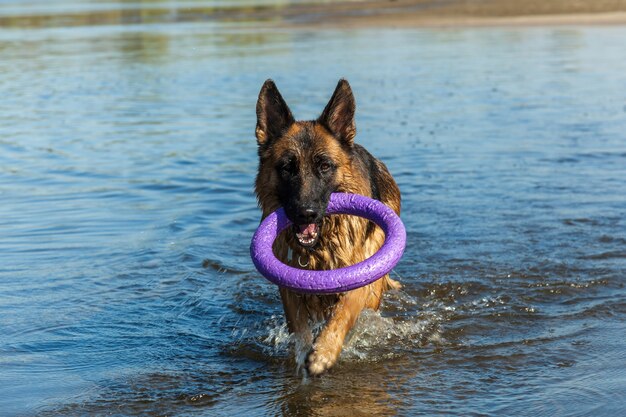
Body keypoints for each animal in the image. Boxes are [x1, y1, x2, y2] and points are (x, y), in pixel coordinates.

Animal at [254, 78, 400, 374]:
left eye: (324, 166)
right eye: (287, 168)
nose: (306, 213)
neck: (319, 247)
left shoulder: (359, 278)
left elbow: (342, 314)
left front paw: (324, 352)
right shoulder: (291, 288)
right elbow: (299, 327)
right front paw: (303, 351)